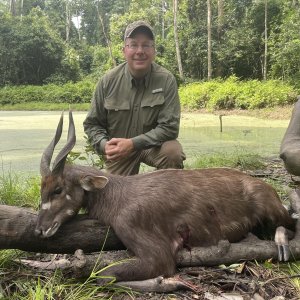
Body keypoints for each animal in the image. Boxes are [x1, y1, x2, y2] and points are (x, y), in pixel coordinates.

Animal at [35, 111, 296, 282]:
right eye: (42, 188)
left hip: (271, 209)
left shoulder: (155, 252)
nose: (39, 229)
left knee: (292, 221)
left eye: (58, 189)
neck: (115, 194)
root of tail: (263, 185)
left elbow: (104, 275)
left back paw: (281, 243)